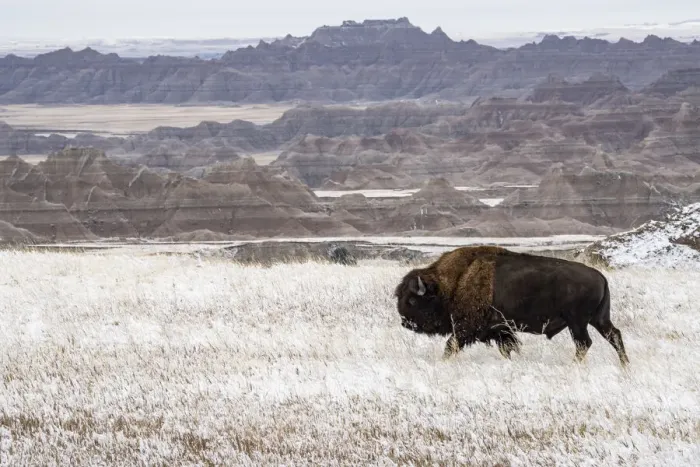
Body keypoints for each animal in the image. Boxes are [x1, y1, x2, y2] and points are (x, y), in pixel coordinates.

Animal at [394, 245, 629, 366]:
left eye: (412, 300)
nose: (405, 322)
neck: (455, 282)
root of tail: (600, 277)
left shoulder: (465, 329)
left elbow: (450, 345)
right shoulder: (501, 330)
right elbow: (508, 348)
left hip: (577, 322)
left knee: (584, 343)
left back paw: (575, 365)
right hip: (599, 319)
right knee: (614, 335)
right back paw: (624, 364)